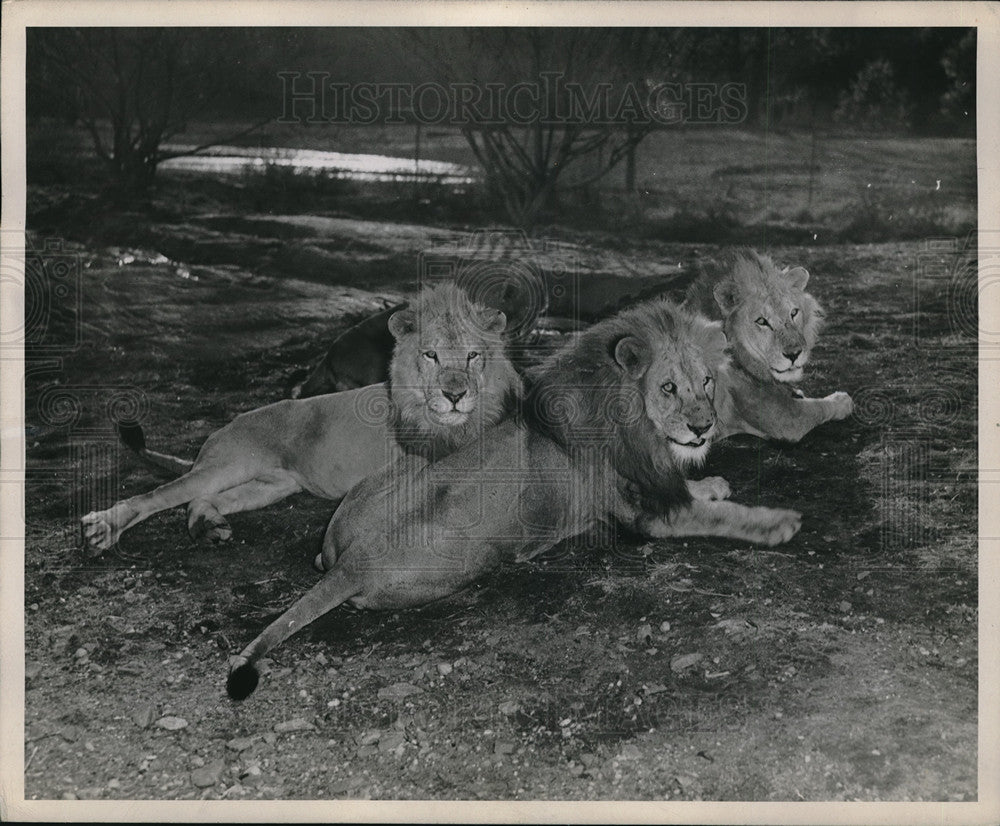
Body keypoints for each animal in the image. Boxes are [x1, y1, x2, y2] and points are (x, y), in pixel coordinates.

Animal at [79, 284, 520, 552]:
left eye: (473, 355)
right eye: (430, 355)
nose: (455, 395)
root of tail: (220, 432)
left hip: (271, 485)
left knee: (199, 500)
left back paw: (209, 526)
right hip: (228, 465)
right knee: (159, 496)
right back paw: (105, 525)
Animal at [223, 296, 800, 696]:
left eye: (707, 382)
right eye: (668, 388)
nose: (704, 428)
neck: (633, 423)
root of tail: (353, 561)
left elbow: (688, 488)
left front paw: (711, 481)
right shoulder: (642, 514)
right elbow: (714, 516)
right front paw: (776, 523)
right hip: (468, 557)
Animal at [688, 249, 852, 444]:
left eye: (793, 312)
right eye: (761, 321)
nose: (794, 354)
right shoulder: (785, 418)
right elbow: (819, 408)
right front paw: (843, 400)